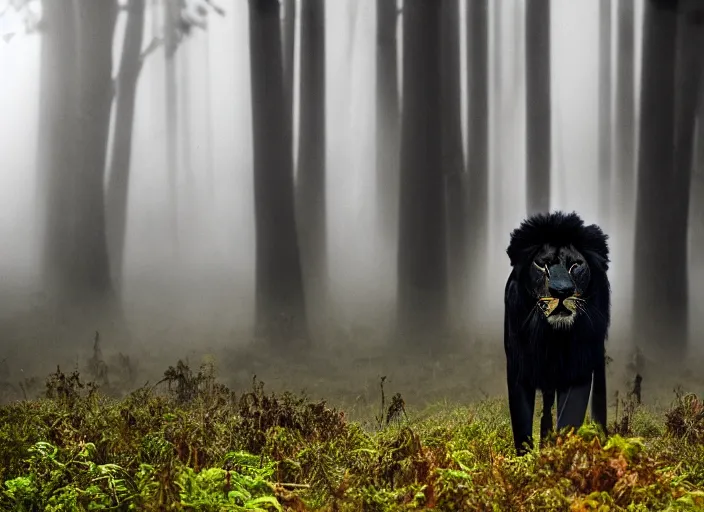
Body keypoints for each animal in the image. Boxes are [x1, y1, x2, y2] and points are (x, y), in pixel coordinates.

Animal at [500, 210, 612, 454]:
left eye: (575, 265)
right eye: (542, 265)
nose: (561, 291)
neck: (553, 336)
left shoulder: (578, 368)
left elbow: (569, 417)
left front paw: (561, 455)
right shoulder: (519, 368)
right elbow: (522, 423)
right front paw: (525, 459)